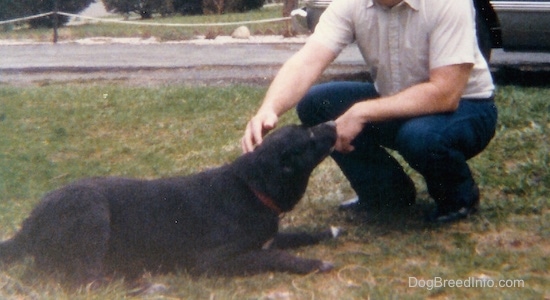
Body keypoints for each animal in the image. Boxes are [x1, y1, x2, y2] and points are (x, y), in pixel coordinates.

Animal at [0, 120, 338, 288]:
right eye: (309, 137)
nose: (335, 122)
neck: (251, 187)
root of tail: (28, 224)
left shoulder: (267, 237)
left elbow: (294, 235)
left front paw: (327, 232)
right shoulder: (213, 260)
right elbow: (274, 256)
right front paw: (312, 263)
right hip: (93, 210)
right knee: (86, 281)